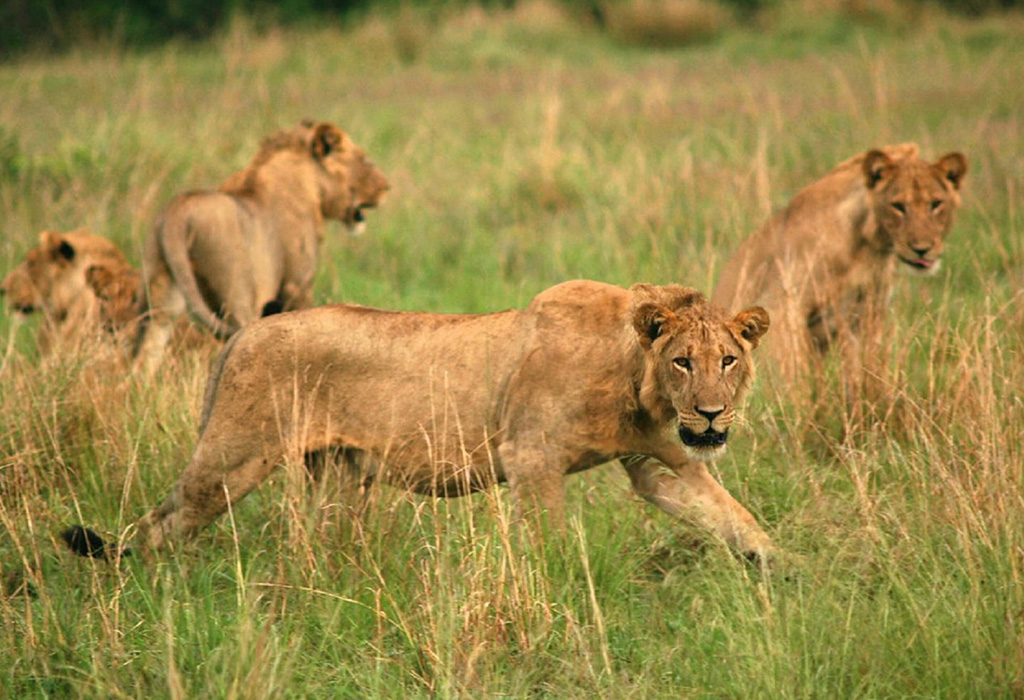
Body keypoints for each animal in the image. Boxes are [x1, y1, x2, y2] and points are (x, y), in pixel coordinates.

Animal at [63, 280, 777, 563]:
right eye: (683, 361)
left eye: (728, 360)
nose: (711, 412)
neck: (635, 375)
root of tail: (241, 334)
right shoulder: (530, 456)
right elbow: (547, 539)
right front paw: (560, 587)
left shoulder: (664, 459)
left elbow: (732, 516)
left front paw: (781, 572)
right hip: (233, 457)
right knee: (162, 521)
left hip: (339, 479)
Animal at [133, 119, 390, 374]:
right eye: (365, 159)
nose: (386, 187)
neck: (309, 185)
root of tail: (178, 213)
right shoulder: (297, 283)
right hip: (237, 292)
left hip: (161, 285)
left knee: (148, 344)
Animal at [712, 143, 967, 385]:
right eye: (898, 206)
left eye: (936, 204)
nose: (922, 248)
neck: (868, 251)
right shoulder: (783, 307)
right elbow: (793, 376)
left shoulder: (868, 315)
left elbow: (864, 370)